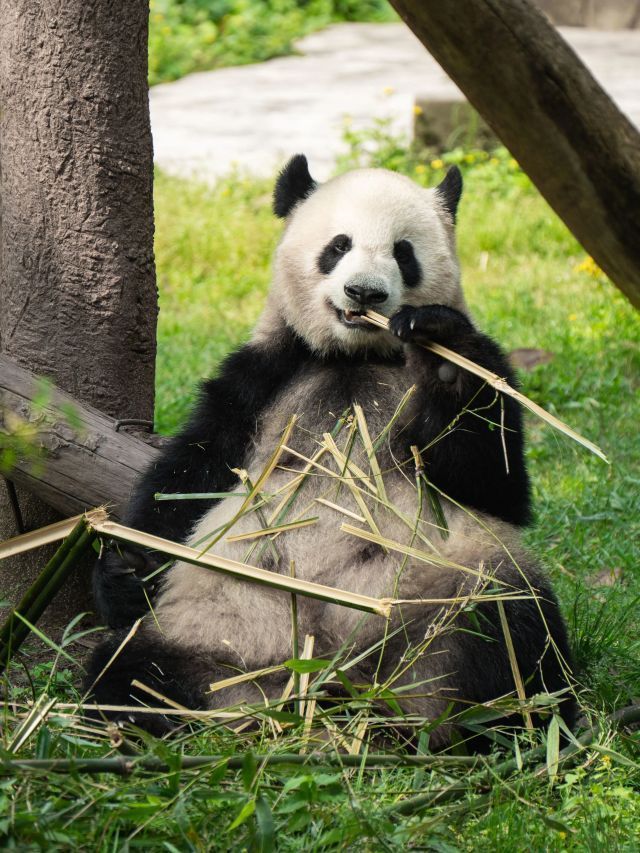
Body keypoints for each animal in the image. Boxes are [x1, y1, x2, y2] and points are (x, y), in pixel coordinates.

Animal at [86, 156, 576, 744]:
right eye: (338, 246)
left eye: (403, 252)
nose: (365, 294)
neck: (353, 356)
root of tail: (329, 684)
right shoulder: (263, 379)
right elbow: (189, 475)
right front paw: (125, 570)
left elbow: (496, 483)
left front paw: (442, 353)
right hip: (213, 626)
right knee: (130, 668)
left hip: (444, 594)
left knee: (512, 621)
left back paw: (516, 723)